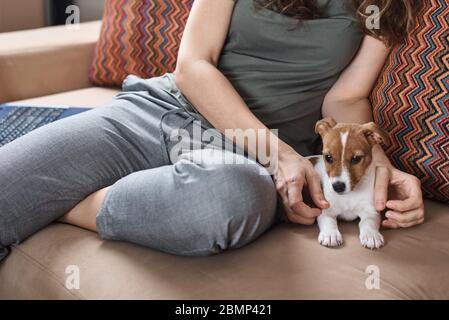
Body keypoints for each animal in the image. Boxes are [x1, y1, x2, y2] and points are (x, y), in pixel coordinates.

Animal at [308, 117, 388, 250]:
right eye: (328, 157)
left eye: (356, 159)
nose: (338, 187)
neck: (349, 195)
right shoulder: (325, 209)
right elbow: (329, 221)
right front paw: (330, 234)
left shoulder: (371, 211)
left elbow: (368, 222)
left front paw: (371, 235)